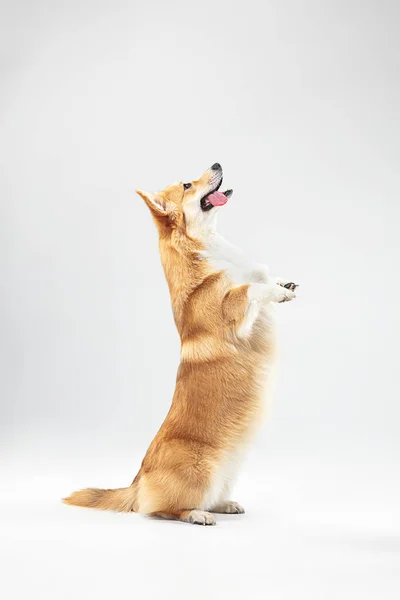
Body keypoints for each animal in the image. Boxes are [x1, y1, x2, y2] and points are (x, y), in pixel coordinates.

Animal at [64, 164, 296, 524]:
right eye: (187, 184)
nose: (216, 164)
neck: (206, 249)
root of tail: (137, 482)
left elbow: (260, 279)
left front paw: (282, 284)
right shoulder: (232, 310)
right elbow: (250, 290)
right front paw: (276, 291)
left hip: (226, 475)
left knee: (208, 498)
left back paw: (224, 505)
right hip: (200, 471)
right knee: (160, 509)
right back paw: (196, 515)